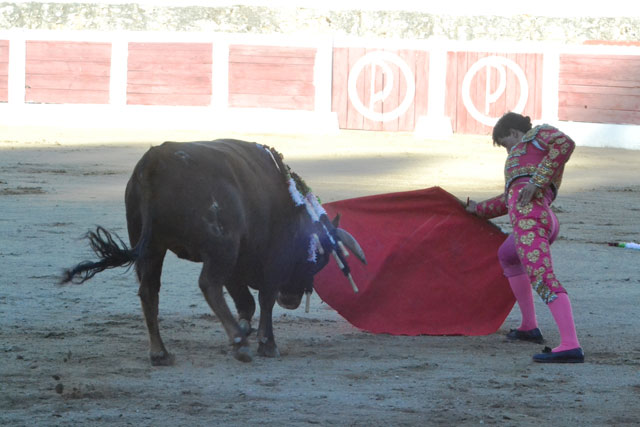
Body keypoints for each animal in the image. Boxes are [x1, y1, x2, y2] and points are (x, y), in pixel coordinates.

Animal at [64, 140, 368, 364]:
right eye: (316, 261)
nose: (292, 300)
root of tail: (155, 161)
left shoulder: (236, 264)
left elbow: (246, 302)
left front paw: (247, 329)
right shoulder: (269, 260)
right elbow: (264, 299)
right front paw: (266, 343)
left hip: (151, 246)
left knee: (149, 290)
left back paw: (160, 352)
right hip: (221, 246)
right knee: (208, 284)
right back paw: (239, 344)